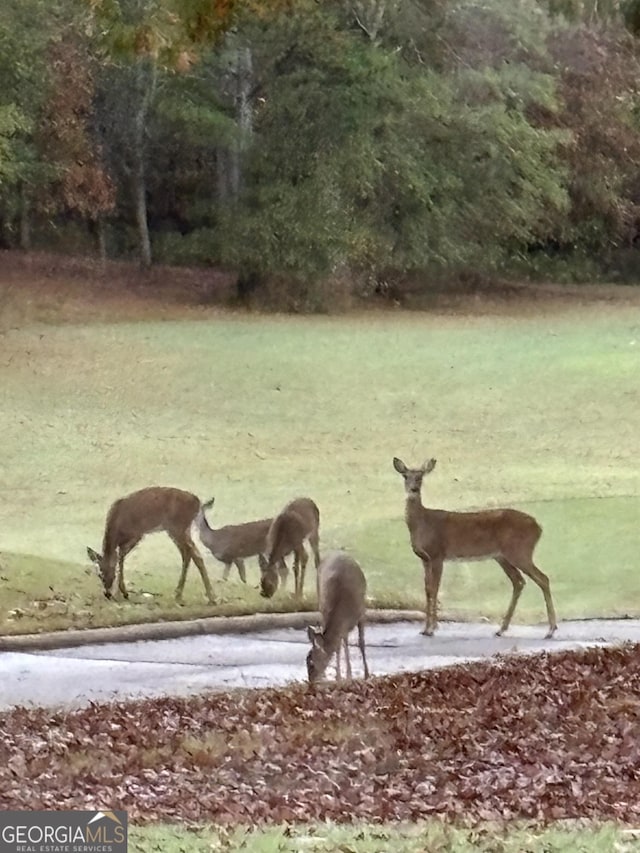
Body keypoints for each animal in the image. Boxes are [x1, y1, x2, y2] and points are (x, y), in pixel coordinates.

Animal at [86, 486, 216, 604]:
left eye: (108, 572)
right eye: (98, 574)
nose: (107, 594)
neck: (117, 526)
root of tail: (198, 503)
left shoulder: (137, 533)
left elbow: (120, 557)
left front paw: (123, 592)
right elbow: (120, 557)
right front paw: (121, 592)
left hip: (178, 527)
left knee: (195, 555)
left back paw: (211, 597)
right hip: (177, 530)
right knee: (188, 554)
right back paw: (179, 594)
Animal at [306, 548, 370, 684]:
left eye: (311, 662)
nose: (310, 682)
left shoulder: (361, 612)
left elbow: (361, 642)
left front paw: (365, 674)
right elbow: (338, 646)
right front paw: (339, 676)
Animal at [390, 456, 556, 636]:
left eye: (420, 477)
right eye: (405, 476)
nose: (413, 489)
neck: (423, 523)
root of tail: (538, 527)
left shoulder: (438, 554)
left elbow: (435, 588)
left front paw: (431, 628)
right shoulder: (424, 558)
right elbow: (427, 589)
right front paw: (425, 628)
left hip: (520, 551)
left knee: (543, 578)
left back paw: (551, 629)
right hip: (502, 556)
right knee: (519, 581)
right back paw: (501, 629)